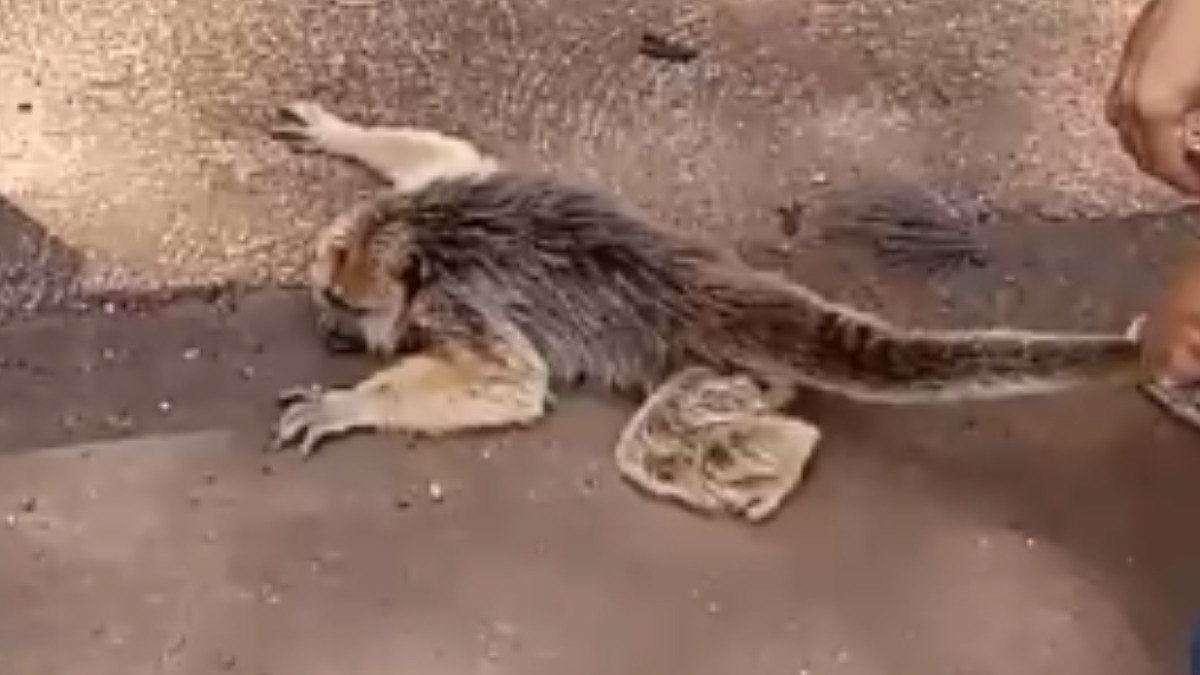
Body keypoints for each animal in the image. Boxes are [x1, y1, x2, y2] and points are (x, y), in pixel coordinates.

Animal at [267, 100, 1154, 523]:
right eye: (323, 294)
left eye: (344, 305)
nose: (327, 330)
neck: (414, 236)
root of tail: (727, 291)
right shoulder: (442, 191)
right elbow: (451, 153)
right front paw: (345, 132)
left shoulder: (455, 296)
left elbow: (512, 382)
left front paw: (344, 404)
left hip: (729, 373)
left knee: (658, 440)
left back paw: (786, 458)